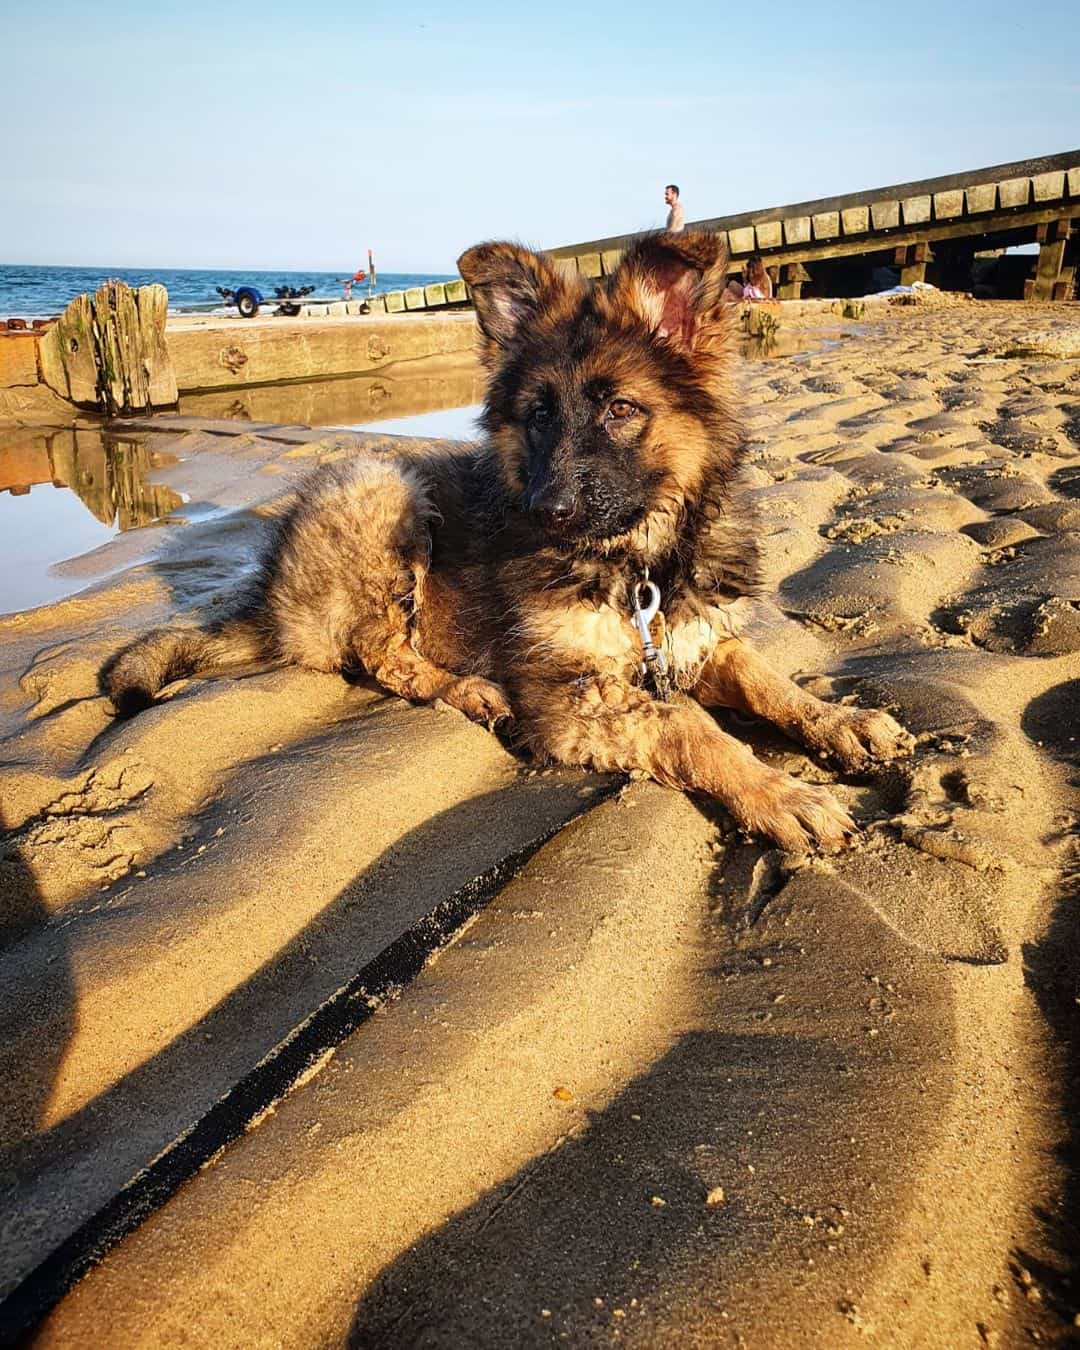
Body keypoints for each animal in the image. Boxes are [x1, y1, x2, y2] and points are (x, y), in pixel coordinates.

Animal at [101, 230, 912, 842]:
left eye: (621, 409)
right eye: (538, 415)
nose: (544, 511)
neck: (640, 564)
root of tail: (272, 601)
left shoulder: (692, 641)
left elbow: (765, 676)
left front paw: (841, 722)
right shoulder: (571, 697)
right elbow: (691, 727)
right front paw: (782, 795)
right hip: (383, 490)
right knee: (382, 653)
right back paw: (468, 688)